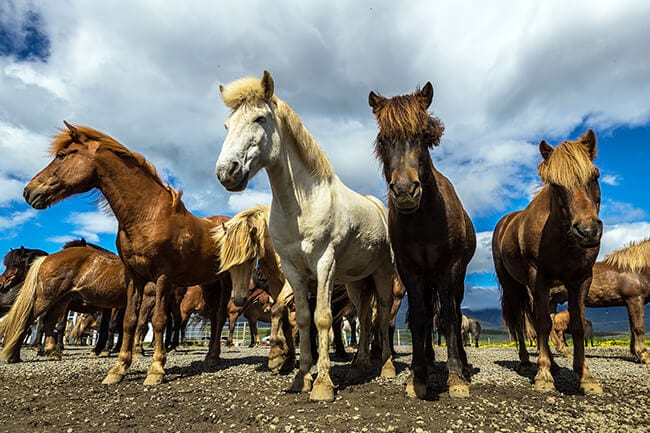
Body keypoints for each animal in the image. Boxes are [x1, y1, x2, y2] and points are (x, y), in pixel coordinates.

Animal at [23, 122, 233, 384]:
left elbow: (159, 320)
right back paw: (210, 356)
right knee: (214, 317)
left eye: (61, 155)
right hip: (209, 283)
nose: (29, 191)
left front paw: (156, 370)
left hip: (225, 282)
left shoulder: (162, 277)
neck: (147, 215)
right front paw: (118, 369)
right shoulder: (135, 277)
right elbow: (129, 321)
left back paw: (214, 356)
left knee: (220, 316)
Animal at [370, 82, 476, 398]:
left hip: (455, 278)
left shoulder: (448, 269)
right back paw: (428, 361)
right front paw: (417, 376)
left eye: (424, 137)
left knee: (454, 311)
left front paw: (455, 377)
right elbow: (419, 319)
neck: (424, 219)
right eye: (384, 140)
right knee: (429, 315)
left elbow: (449, 319)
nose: (405, 191)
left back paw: (463, 364)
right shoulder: (410, 271)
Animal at [492, 127, 604, 392]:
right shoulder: (538, 277)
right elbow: (542, 323)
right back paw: (526, 362)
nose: (588, 231)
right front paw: (543, 376)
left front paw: (585, 376)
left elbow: (577, 324)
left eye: (595, 176)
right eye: (555, 184)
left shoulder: (581, 279)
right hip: (513, 285)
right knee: (521, 320)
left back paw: (553, 364)